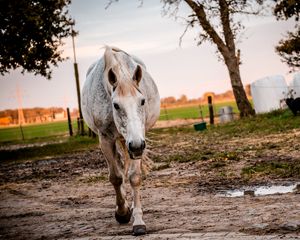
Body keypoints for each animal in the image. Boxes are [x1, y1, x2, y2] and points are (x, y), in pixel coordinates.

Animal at [81, 46, 161, 235]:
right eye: (116, 105)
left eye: (142, 101)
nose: (137, 145)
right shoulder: (105, 140)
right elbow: (116, 177)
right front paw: (122, 212)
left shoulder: (138, 141)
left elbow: (134, 177)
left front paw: (138, 221)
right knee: (118, 165)